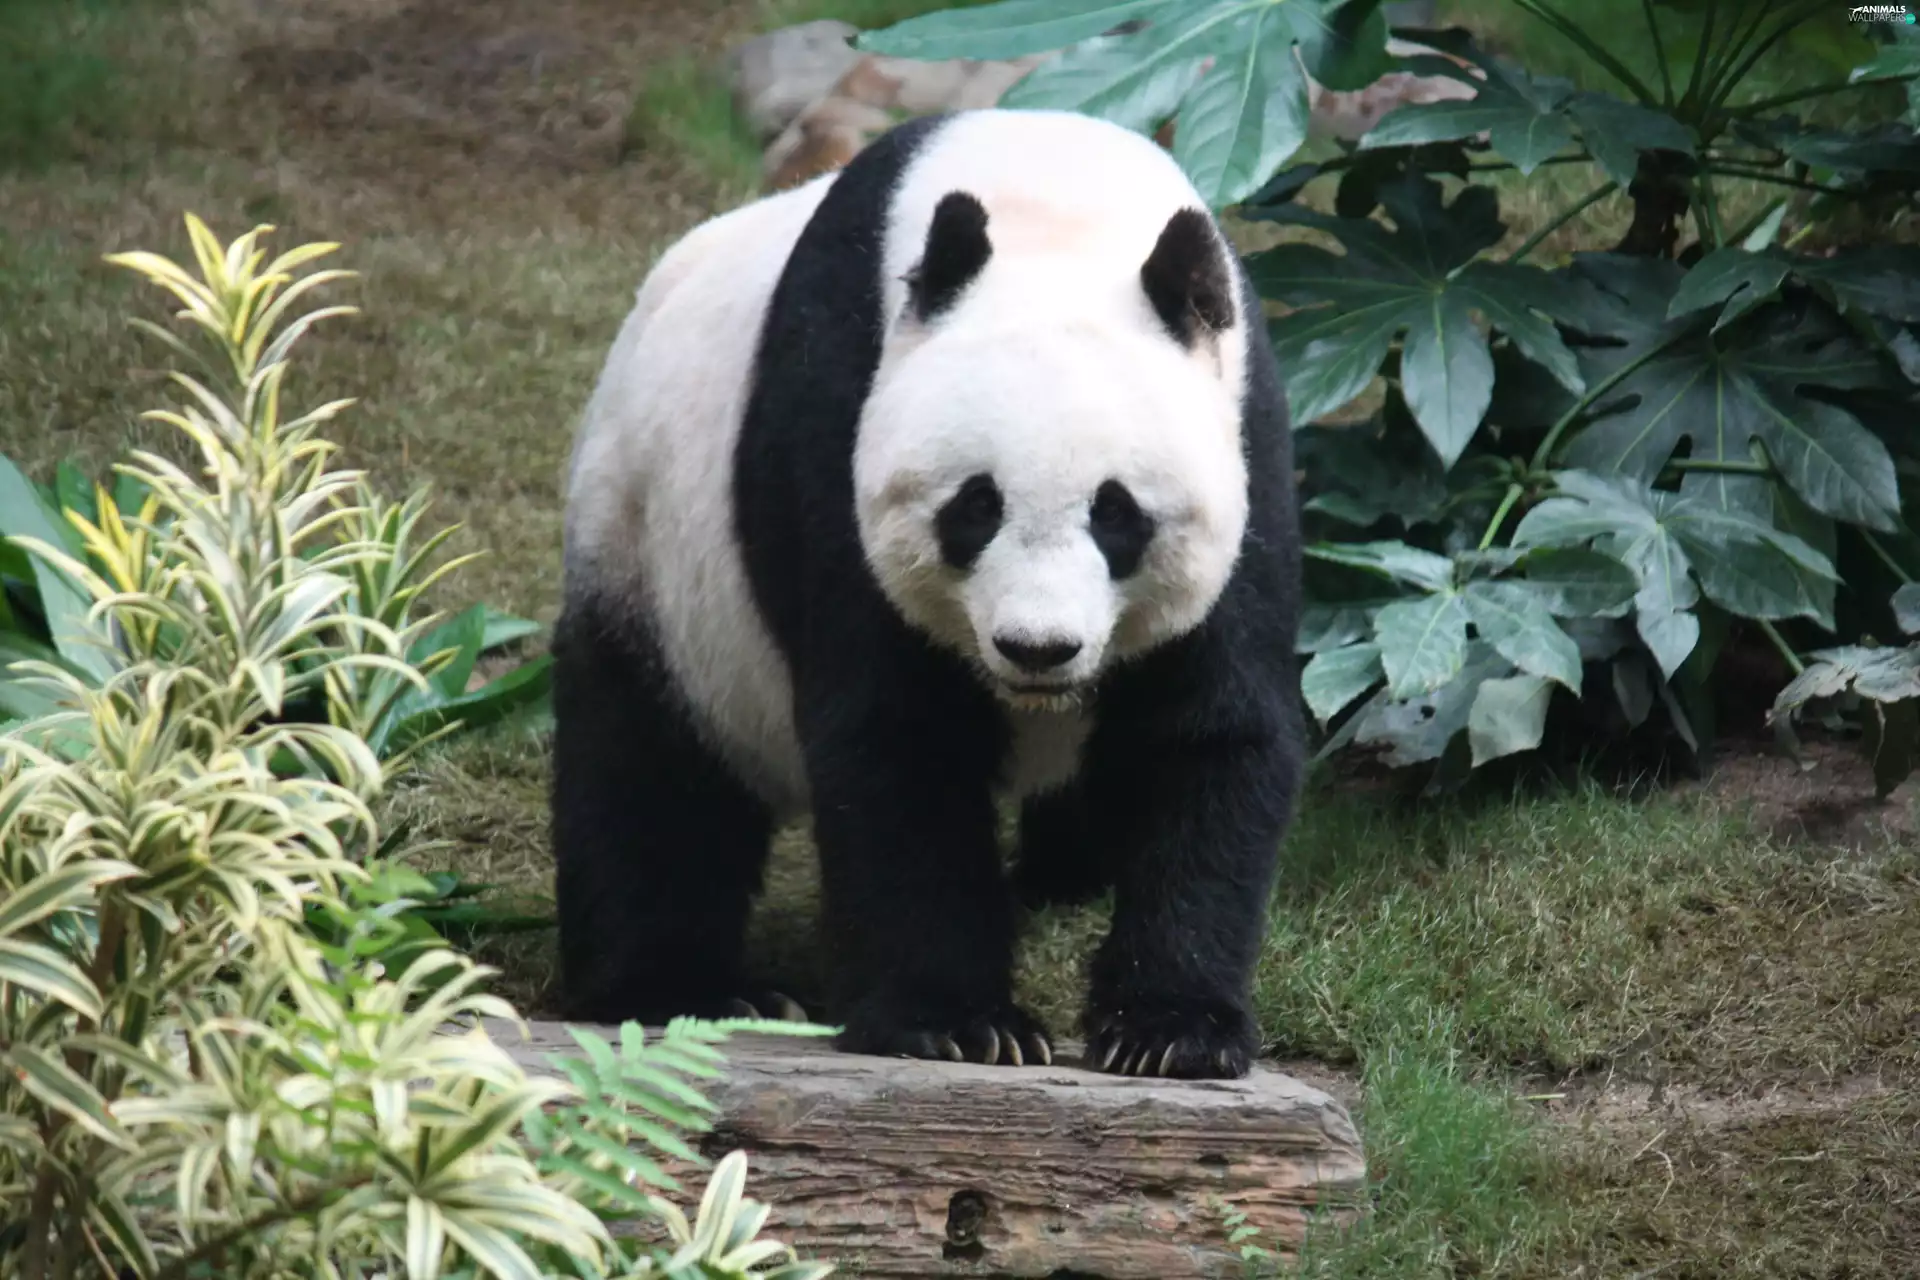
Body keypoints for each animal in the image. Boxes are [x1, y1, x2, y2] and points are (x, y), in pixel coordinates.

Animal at [553, 108, 1303, 1080]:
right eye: (975, 507)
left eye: (1118, 515)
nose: (1037, 648)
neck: (1055, 209)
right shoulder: (835, 414)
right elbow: (899, 736)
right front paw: (959, 1024)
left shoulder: (1248, 441)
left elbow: (1207, 733)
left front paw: (1170, 1031)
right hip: (650, 551)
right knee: (650, 772)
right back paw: (682, 988)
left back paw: (1062, 878)